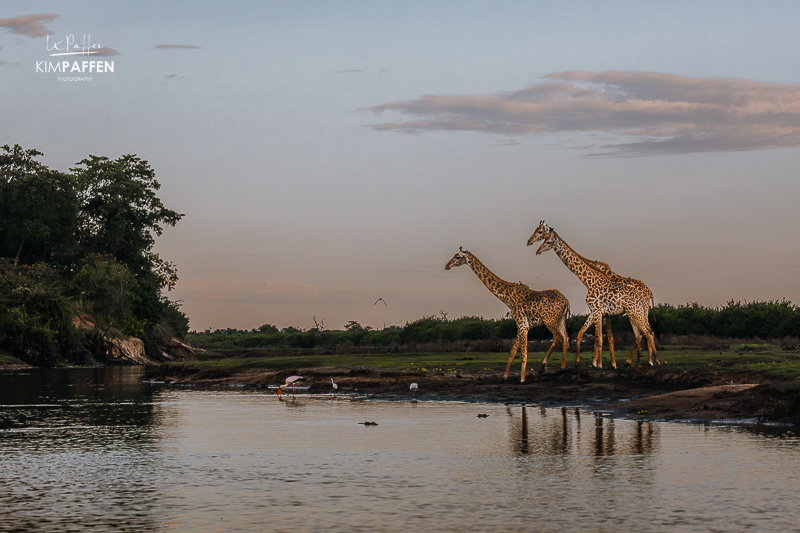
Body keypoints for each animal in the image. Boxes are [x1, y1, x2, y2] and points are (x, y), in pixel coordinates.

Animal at [445, 247, 571, 381]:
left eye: (457, 257)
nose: (447, 266)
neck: (508, 298)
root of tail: (566, 301)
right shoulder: (521, 325)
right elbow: (513, 350)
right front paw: (505, 377)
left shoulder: (523, 324)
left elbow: (523, 353)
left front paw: (522, 379)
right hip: (561, 319)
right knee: (565, 338)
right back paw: (562, 370)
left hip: (549, 320)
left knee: (557, 337)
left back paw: (543, 367)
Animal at [527, 221, 659, 369]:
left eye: (544, 236)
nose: (530, 243)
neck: (588, 281)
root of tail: (649, 292)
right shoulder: (598, 312)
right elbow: (590, 336)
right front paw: (598, 363)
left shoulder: (598, 311)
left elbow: (600, 338)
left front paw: (599, 364)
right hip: (639, 312)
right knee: (643, 333)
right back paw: (641, 362)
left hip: (635, 312)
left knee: (646, 333)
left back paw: (650, 362)